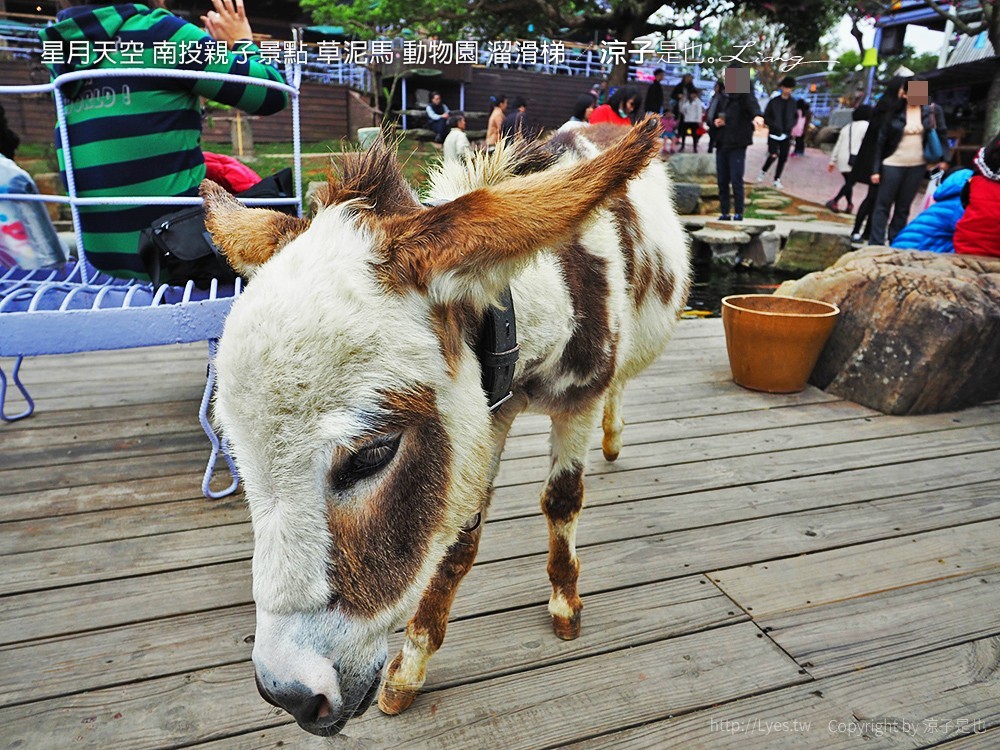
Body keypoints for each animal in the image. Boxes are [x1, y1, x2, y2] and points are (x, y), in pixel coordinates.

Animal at [201, 116, 691, 737]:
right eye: (237, 456)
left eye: (374, 454)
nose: (288, 695)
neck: (552, 292)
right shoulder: (489, 408)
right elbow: (459, 539)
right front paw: (411, 668)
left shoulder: (575, 401)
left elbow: (562, 499)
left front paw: (565, 601)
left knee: (620, 384)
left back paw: (613, 435)